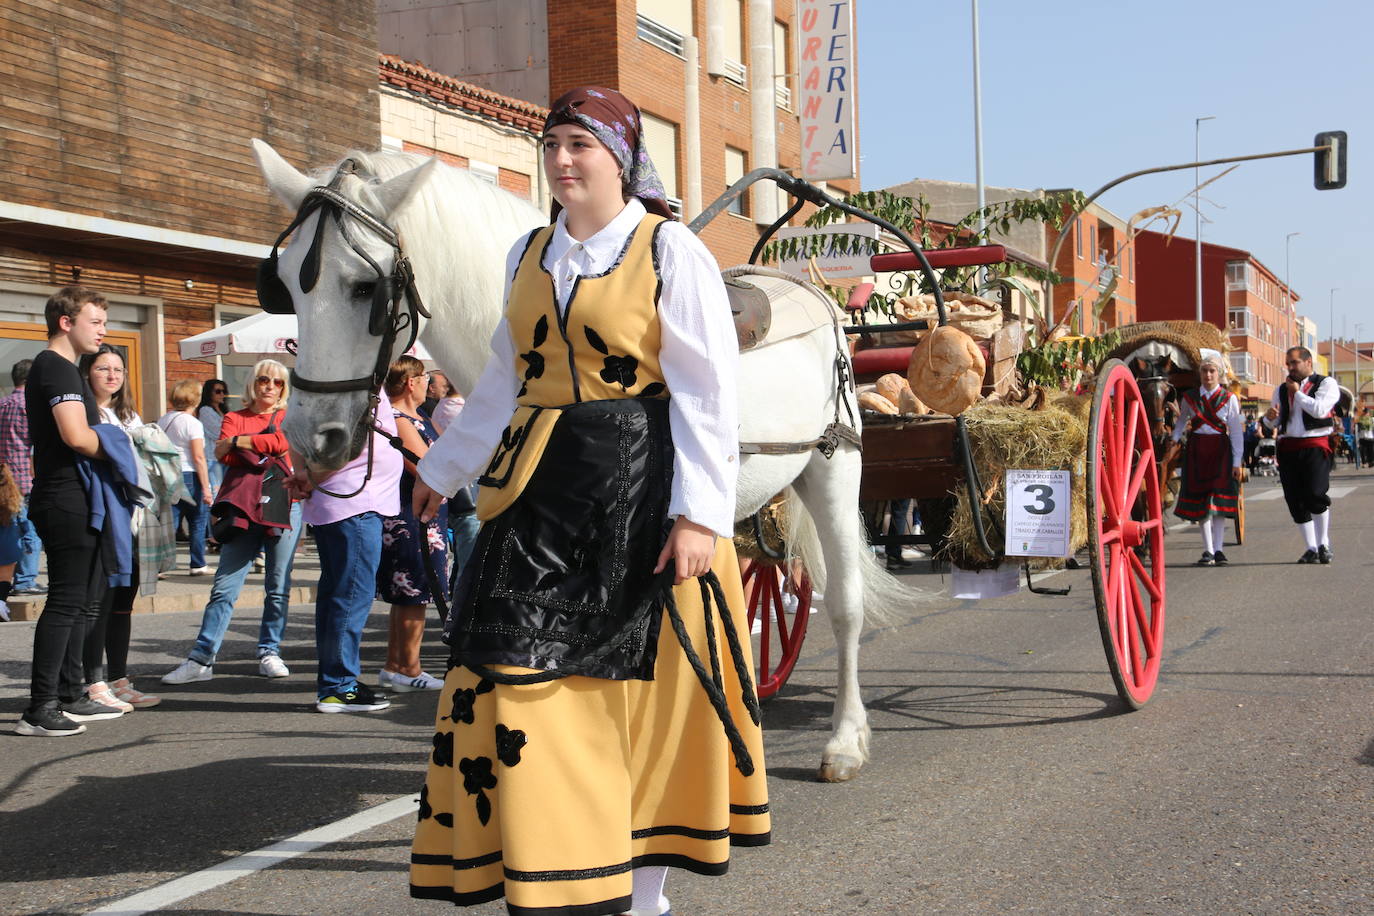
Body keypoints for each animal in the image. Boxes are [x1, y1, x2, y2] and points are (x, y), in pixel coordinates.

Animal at [252, 141, 917, 780]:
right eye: (284, 283)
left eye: (365, 287)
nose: (312, 437)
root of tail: (813, 297)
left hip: (831, 467)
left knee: (844, 604)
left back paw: (844, 738)